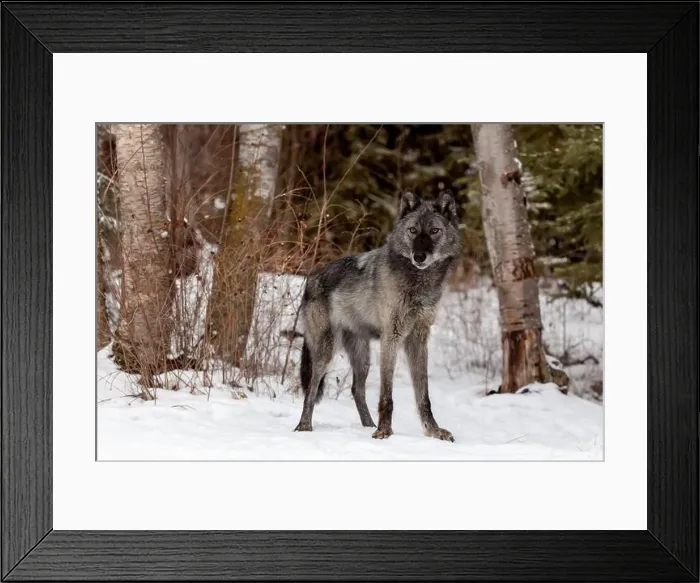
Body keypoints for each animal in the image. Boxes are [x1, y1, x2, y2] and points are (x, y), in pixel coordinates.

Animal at [293, 189, 463, 441]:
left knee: (357, 390)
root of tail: (310, 280)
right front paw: (384, 431)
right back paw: (304, 426)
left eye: (434, 231)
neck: (418, 283)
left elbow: (423, 395)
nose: (419, 256)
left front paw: (433, 430)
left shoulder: (418, 339)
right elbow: (387, 395)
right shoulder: (391, 338)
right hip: (326, 351)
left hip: (363, 358)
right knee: (311, 390)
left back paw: (367, 426)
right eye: (413, 230)